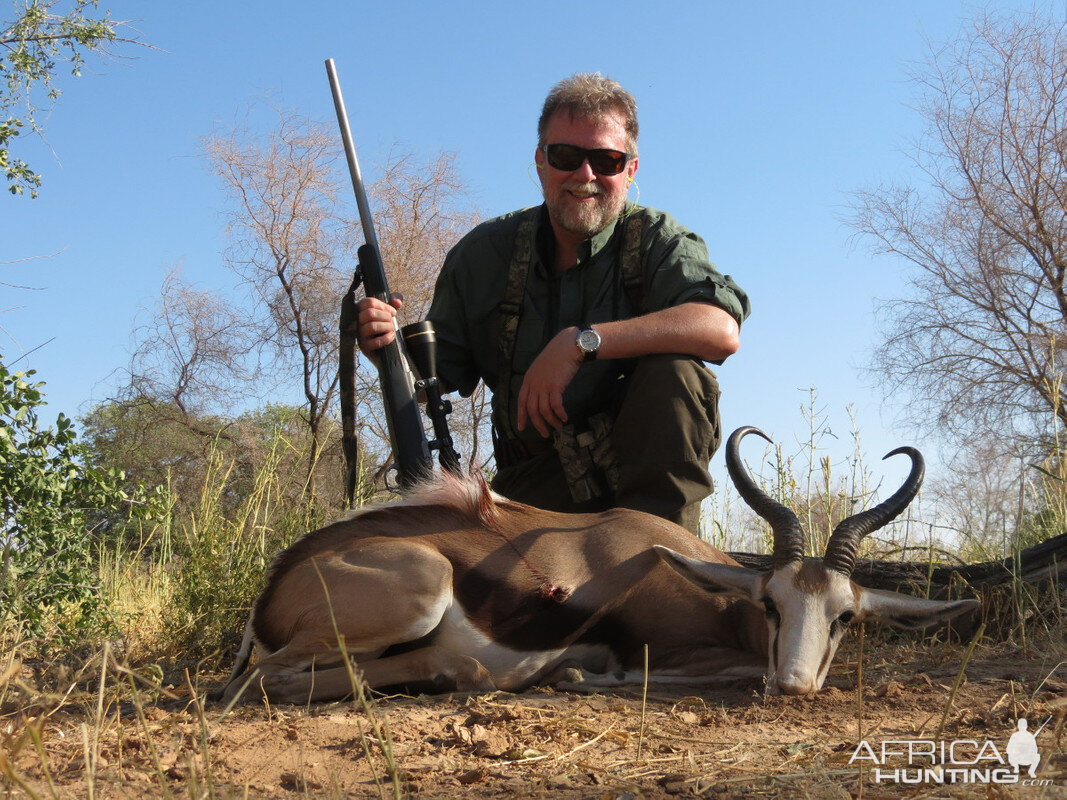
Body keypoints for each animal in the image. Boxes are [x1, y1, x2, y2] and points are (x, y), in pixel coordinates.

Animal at [220, 428, 977, 704]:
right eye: (771, 604)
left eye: (844, 616)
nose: (793, 686)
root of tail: (278, 584)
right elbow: (722, 670)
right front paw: (577, 674)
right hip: (418, 592)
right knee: (265, 681)